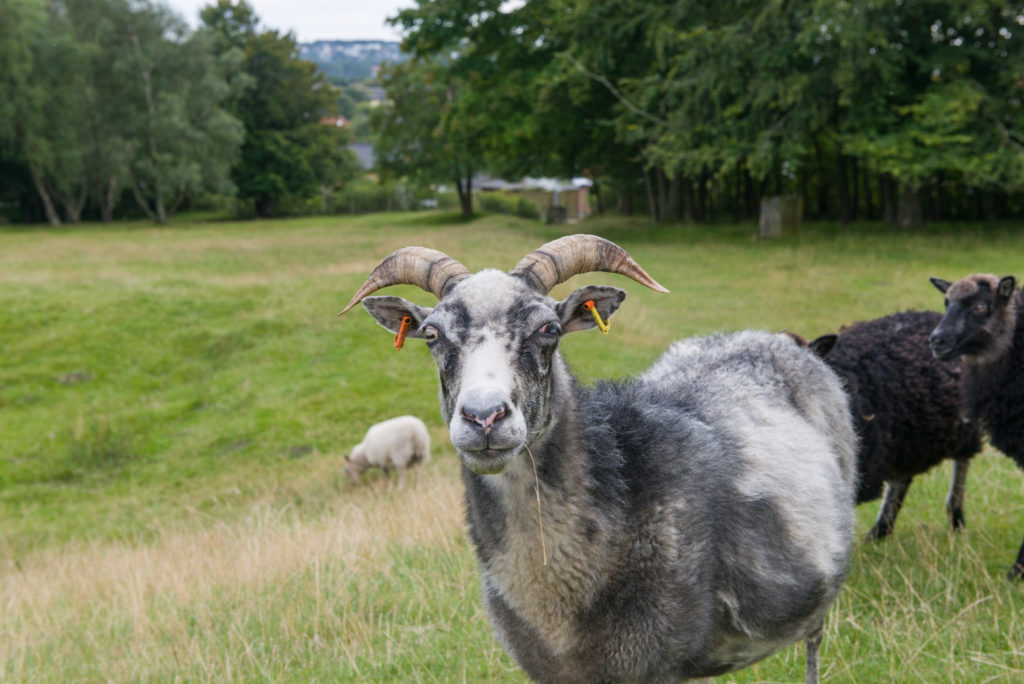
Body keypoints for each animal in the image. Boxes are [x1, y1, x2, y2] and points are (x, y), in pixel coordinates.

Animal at [806, 309, 983, 540]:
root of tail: (931, 314)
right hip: (906, 440)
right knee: (901, 480)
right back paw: (880, 531)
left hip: (961, 428)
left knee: (961, 462)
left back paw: (955, 517)